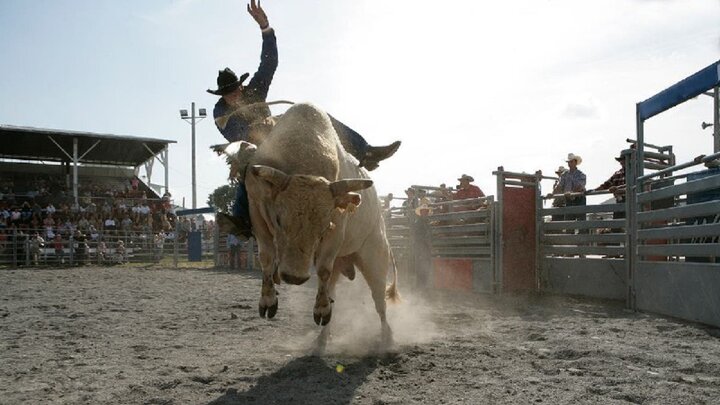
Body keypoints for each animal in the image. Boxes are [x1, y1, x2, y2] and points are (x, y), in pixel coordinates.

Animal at [219, 102, 400, 350]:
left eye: (325, 226)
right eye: (278, 220)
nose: (294, 278)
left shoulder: (337, 226)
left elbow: (322, 268)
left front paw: (320, 310)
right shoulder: (257, 209)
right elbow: (266, 257)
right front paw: (268, 301)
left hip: (375, 258)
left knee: (379, 302)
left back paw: (386, 338)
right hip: (344, 265)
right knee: (333, 292)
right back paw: (322, 339)